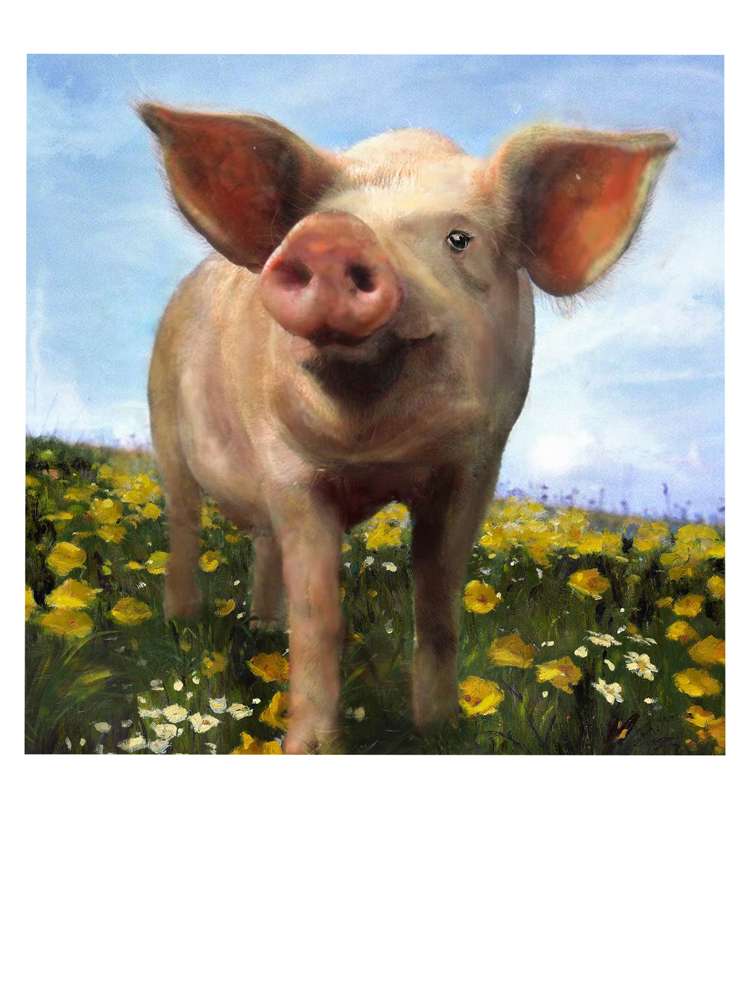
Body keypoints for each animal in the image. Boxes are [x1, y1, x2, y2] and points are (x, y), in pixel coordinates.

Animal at [139, 102, 674, 752]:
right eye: (314, 223)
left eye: (459, 239)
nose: (331, 233)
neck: (379, 453)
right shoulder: (288, 467)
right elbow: (319, 612)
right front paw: (312, 749)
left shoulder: (477, 465)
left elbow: (438, 599)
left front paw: (440, 728)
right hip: (163, 419)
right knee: (184, 524)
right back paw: (183, 623)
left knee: (262, 546)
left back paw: (263, 627)